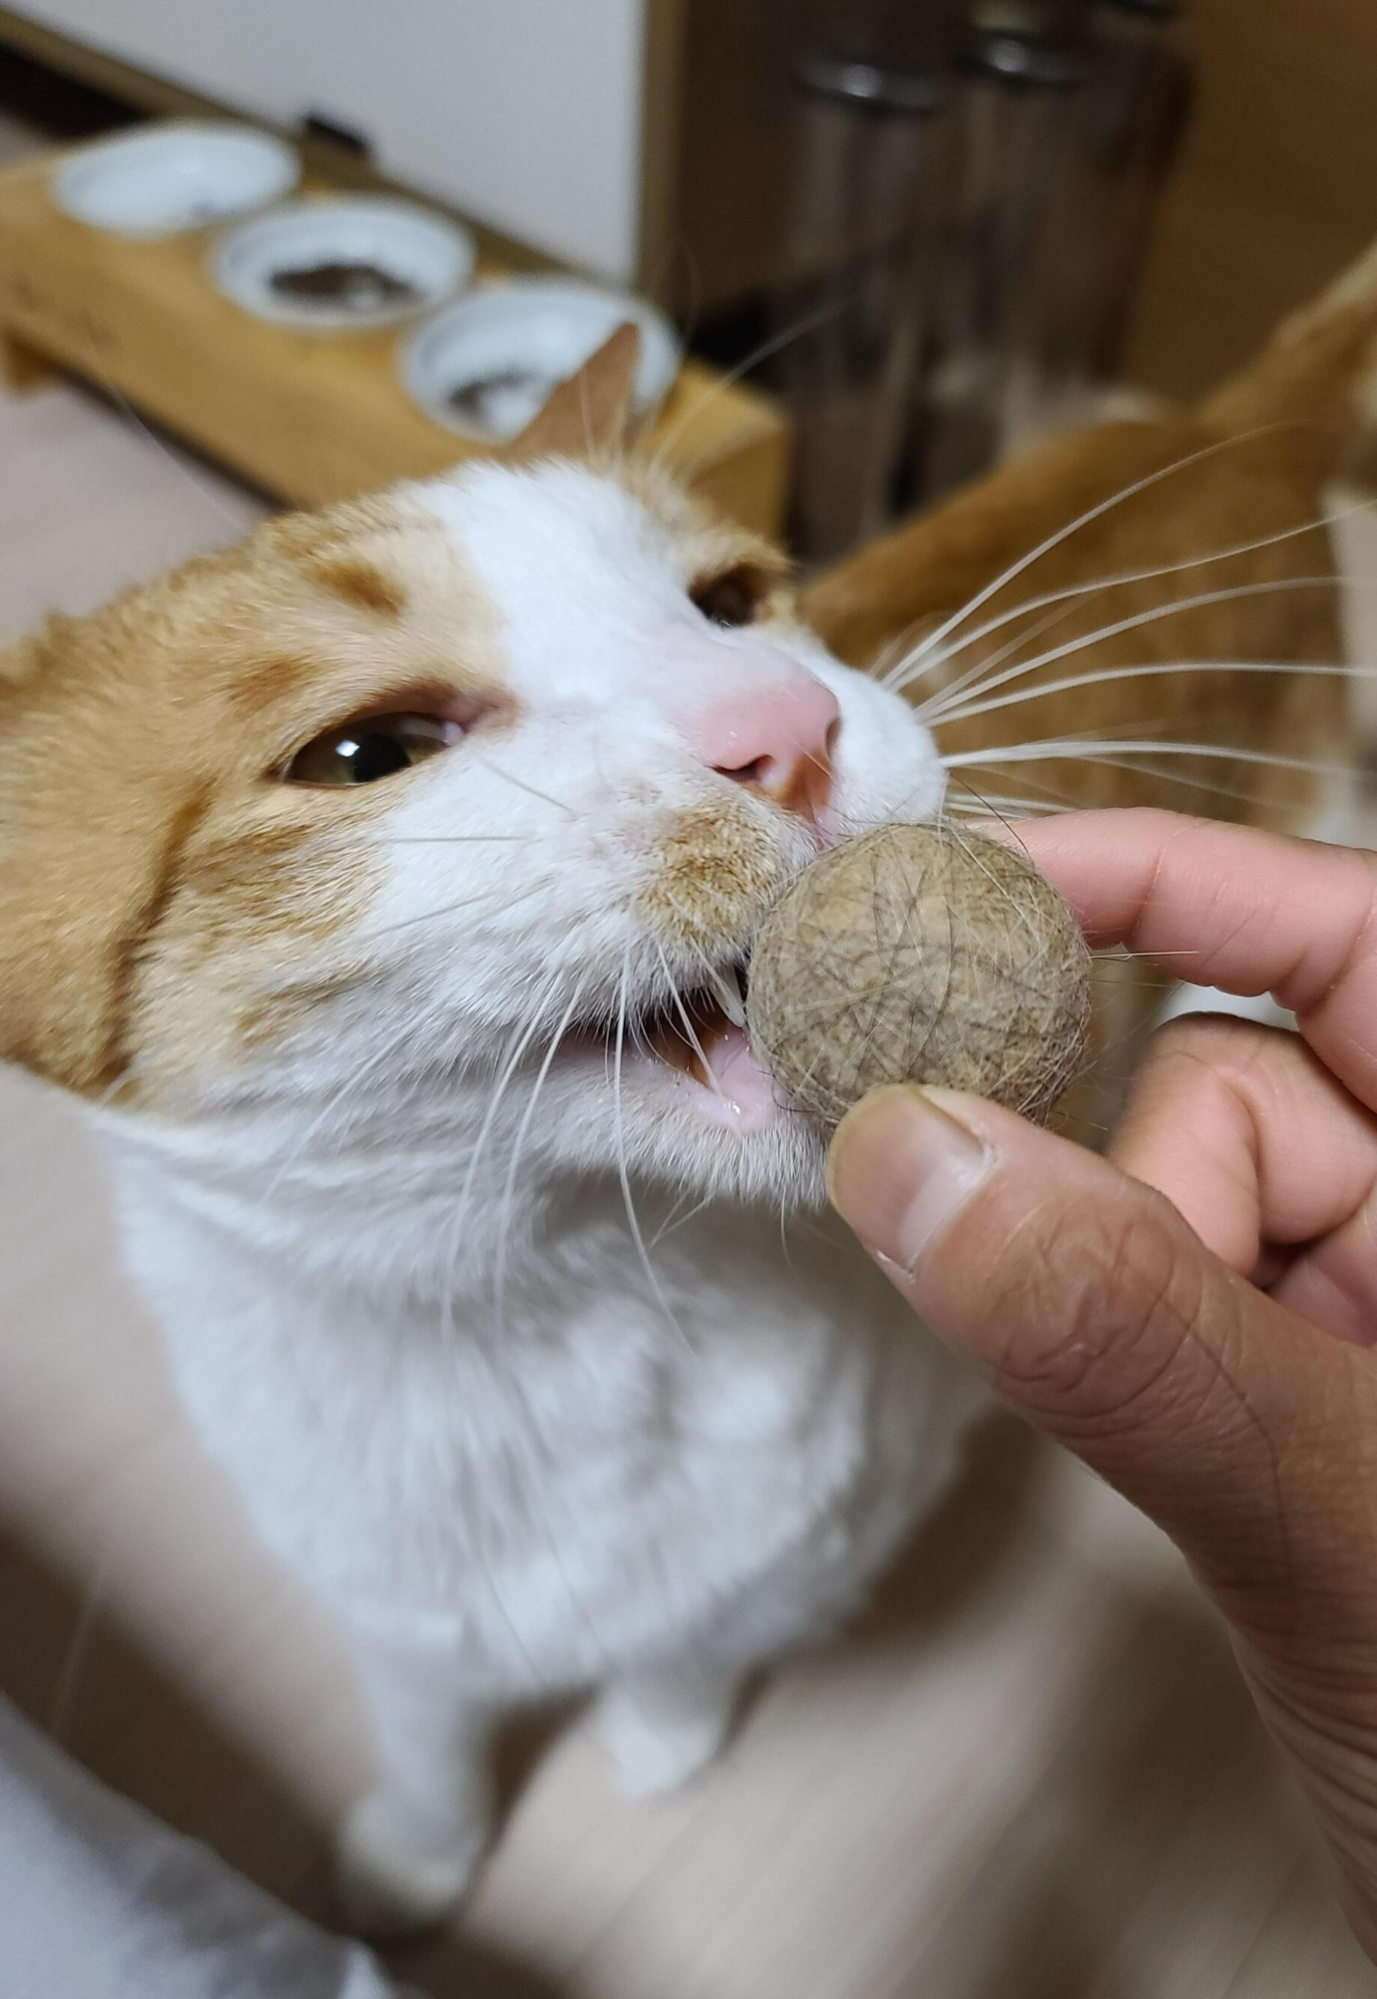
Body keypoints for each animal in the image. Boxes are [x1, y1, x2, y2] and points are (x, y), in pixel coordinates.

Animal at [0, 335, 987, 1927]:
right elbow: (425, 1716)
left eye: (733, 600)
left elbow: (694, 1637)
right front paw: (419, 1849)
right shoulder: (383, 1594)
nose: (788, 726)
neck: (544, 1321)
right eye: (363, 752)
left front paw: (658, 1741)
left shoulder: (824, 1527)